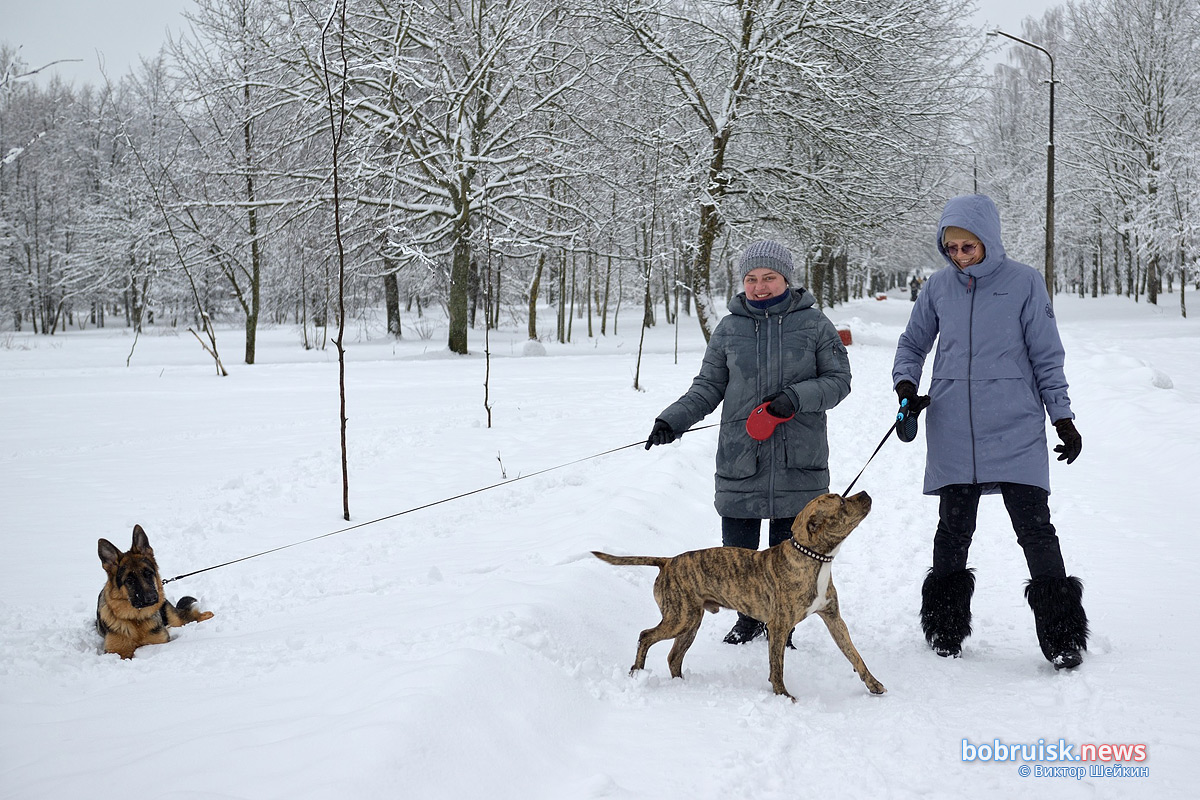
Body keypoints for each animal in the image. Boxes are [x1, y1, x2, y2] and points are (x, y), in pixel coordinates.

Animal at [97, 525, 213, 657]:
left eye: (148, 573)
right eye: (129, 580)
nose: (152, 597)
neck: (137, 620)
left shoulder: (160, 641)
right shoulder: (117, 652)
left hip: (175, 619)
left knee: (190, 616)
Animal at [595, 491, 888, 705]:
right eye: (841, 502)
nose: (864, 492)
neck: (812, 558)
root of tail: (666, 562)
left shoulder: (834, 618)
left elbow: (855, 655)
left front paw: (873, 684)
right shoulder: (779, 626)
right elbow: (777, 666)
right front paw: (783, 696)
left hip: (690, 621)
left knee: (673, 657)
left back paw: (681, 684)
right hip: (680, 618)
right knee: (646, 636)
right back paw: (637, 672)